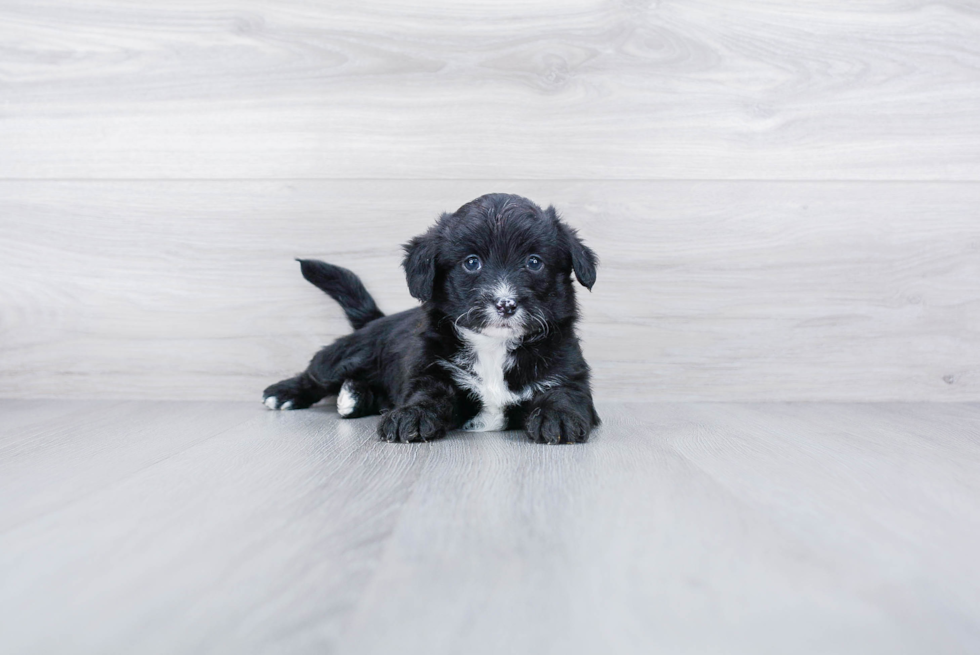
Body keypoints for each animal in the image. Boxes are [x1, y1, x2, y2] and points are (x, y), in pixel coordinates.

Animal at [260, 192, 596, 444]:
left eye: (534, 262)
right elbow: (426, 396)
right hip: (351, 353)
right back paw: (286, 393)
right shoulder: (431, 372)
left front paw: (558, 417)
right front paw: (412, 415)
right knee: (319, 372)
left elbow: (564, 395)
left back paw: (354, 397)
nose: (505, 304)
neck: (494, 347)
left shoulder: (567, 373)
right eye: (471, 262)